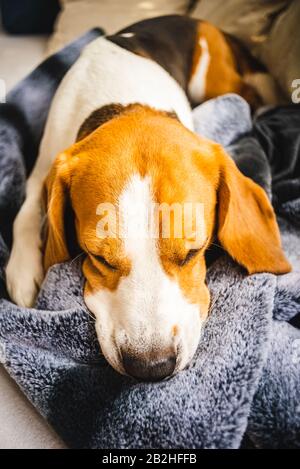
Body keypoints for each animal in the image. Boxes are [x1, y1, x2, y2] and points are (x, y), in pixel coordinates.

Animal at [5, 15, 290, 380]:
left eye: (193, 252)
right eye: (99, 257)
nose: (151, 367)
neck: (128, 104)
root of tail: (190, 19)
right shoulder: (43, 168)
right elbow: (24, 213)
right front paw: (23, 269)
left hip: (211, 77)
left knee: (249, 92)